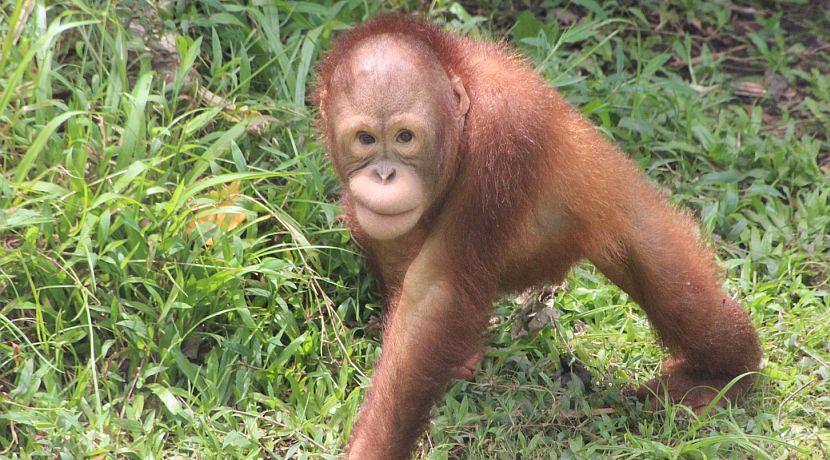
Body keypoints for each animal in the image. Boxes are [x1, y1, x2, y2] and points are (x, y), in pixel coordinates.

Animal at [314, 14, 762, 459]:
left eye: (405, 137)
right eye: (366, 139)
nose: (385, 175)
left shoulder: (502, 135)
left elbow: (436, 288)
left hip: (633, 218)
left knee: (680, 295)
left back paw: (725, 376)